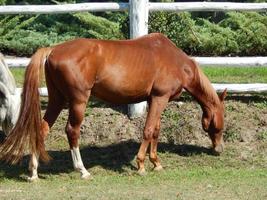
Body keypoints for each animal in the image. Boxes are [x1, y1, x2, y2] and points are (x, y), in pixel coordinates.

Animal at [0, 32, 227, 180]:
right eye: (221, 123)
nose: (219, 148)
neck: (175, 60)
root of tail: (53, 50)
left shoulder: (154, 100)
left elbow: (155, 131)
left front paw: (156, 162)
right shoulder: (159, 98)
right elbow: (148, 130)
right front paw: (141, 165)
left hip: (58, 100)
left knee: (42, 129)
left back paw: (33, 172)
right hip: (77, 102)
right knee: (72, 131)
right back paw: (82, 170)